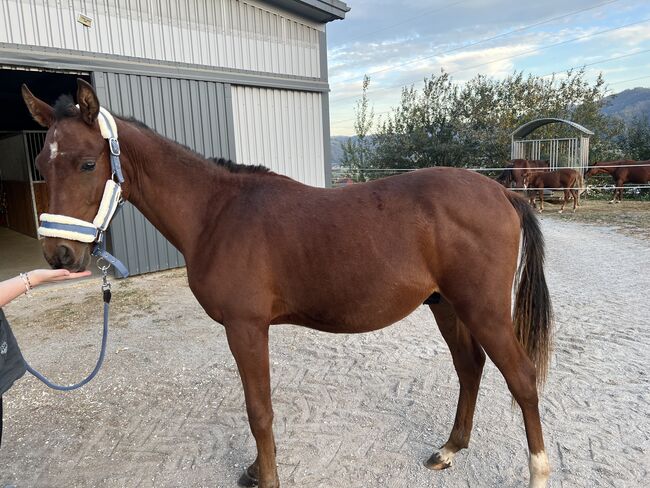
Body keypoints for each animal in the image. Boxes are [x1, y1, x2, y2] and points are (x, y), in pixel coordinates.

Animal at [22, 80, 556, 488]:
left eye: (88, 163)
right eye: (42, 167)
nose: (60, 254)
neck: (217, 213)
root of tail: (501, 192)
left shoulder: (246, 327)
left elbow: (259, 410)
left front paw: (267, 477)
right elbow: (258, 406)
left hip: (483, 309)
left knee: (521, 378)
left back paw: (537, 472)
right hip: (445, 304)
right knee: (470, 368)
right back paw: (450, 448)